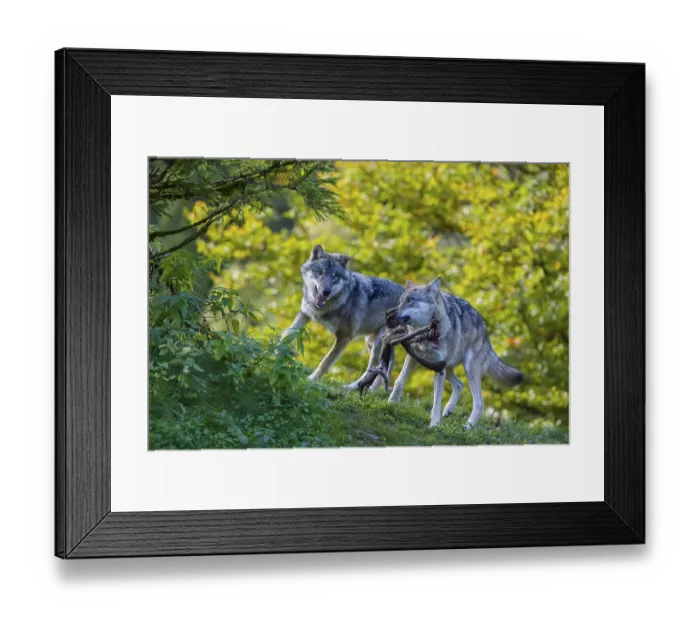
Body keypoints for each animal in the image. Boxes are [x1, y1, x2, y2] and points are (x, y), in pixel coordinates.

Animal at [283, 244, 404, 389]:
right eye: (320, 272)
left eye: (335, 276)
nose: (326, 291)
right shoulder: (305, 315)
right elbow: (287, 333)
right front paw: (275, 352)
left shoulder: (344, 337)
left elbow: (326, 361)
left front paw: (311, 380)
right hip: (370, 341)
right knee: (384, 369)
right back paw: (372, 391)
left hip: (378, 343)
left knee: (372, 368)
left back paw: (353, 387)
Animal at [387, 277, 524, 430]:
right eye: (400, 301)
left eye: (410, 300)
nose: (389, 313)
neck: (427, 333)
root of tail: (485, 332)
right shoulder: (413, 357)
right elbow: (399, 381)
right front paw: (391, 403)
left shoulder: (439, 369)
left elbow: (436, 402)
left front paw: (434, 425)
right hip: (448, 368)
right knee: (459, 384)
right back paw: (449, 409)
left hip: (469, 369)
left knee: (479, 403)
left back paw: (468, 427)